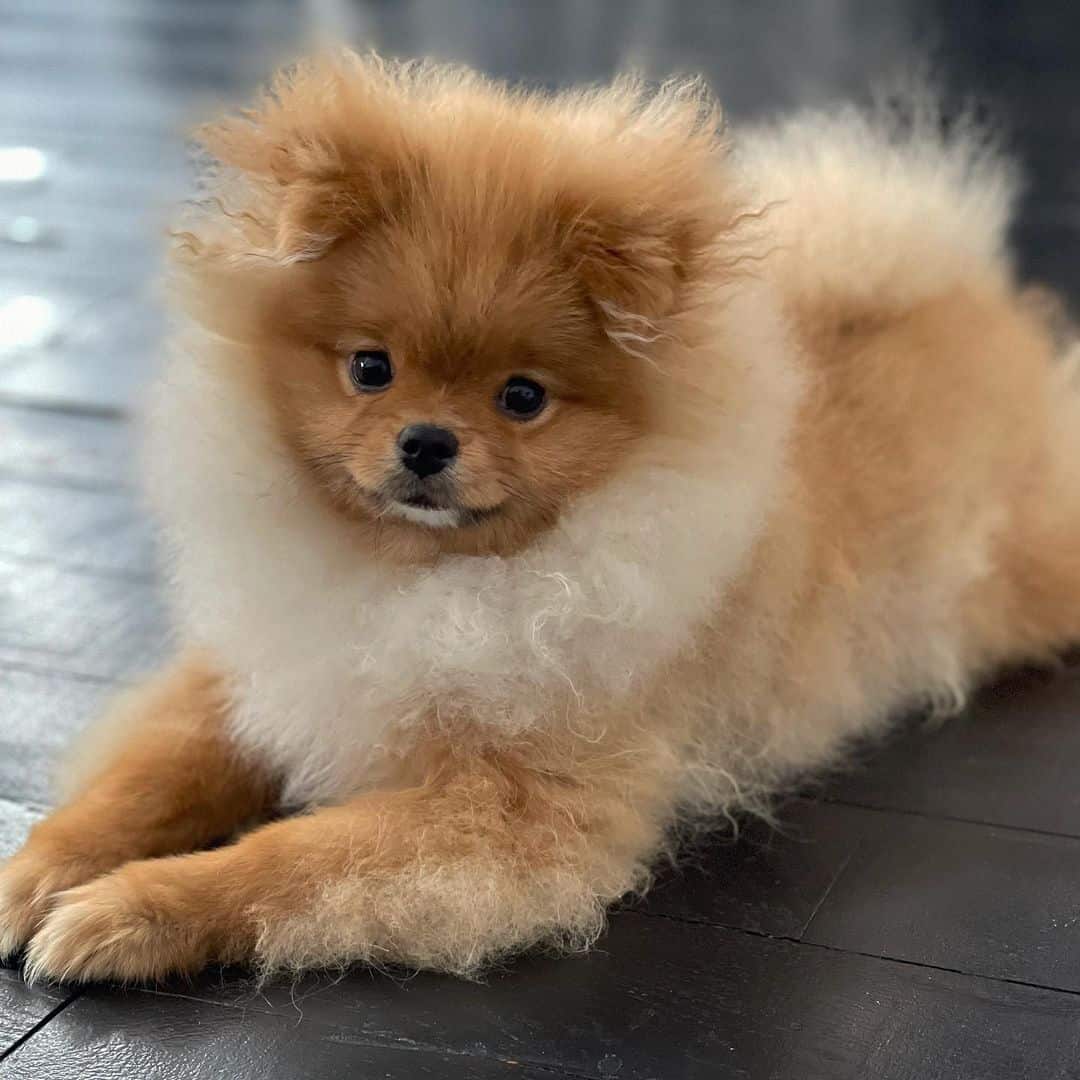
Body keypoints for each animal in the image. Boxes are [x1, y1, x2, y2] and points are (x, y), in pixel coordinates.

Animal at [2, 50, 1080, 984]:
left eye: (523, 398)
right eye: (369, 369)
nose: (426, 441)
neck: (418, 577)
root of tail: (962, 288)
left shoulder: (507, 815)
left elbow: (290, 857)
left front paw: (130, 910)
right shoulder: (260, 671)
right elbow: (149, 775)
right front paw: (38, 869)